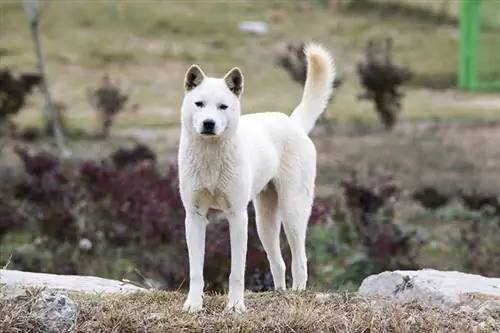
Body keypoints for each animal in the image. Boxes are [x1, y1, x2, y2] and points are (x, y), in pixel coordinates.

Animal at [178, 40, 334, 312]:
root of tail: (293, 123)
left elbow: (237, 272)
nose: (208, 123)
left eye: (223, 107)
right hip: (265, 222)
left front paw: (235, 306)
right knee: (279, 262)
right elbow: (196, 270)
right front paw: (194, 305)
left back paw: (296, 294)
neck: (211, 156)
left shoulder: (237, 216)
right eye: (199, 104)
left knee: (300, 260)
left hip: (293, 213)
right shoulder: (195, 216)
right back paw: (280, 293)